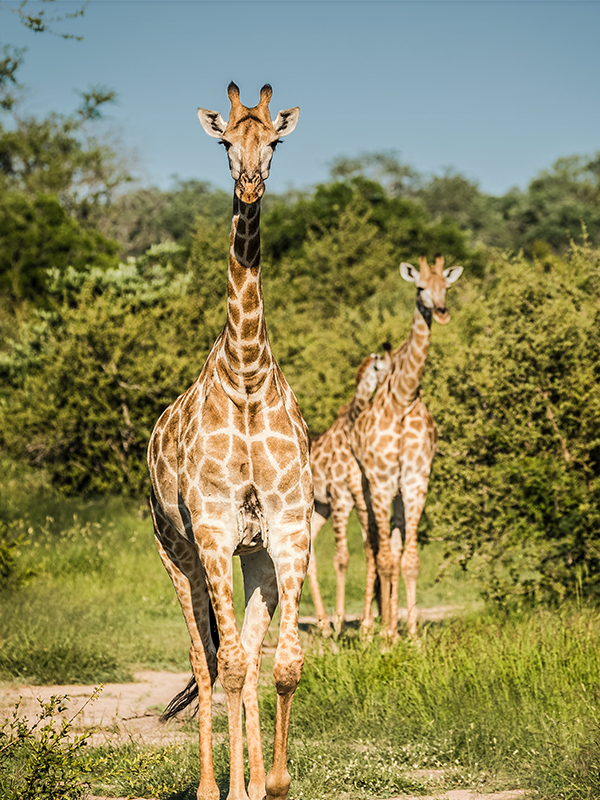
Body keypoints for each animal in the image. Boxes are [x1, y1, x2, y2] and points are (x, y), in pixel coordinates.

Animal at [307, 345, 391, 633]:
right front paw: (341, 621)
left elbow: (370, 552)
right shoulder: (341, 498)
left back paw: (322, 623)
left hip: (320, 509)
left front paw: (367, 623)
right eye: (381, 367)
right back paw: (327, 624)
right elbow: (342, 557)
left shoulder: (362, 499)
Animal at [351, 254, 463, 639]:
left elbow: (409, 559)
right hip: (362, 490)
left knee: (394, 548)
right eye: (420, 287)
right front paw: (386, 637)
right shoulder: (382, 482)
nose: (441, 312)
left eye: (447, 287)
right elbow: (384, 557)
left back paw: (391, 623)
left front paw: (410, 635)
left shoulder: (415, 481)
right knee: (373, 548)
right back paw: (370, 629)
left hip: (396, 495)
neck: (402, 398)